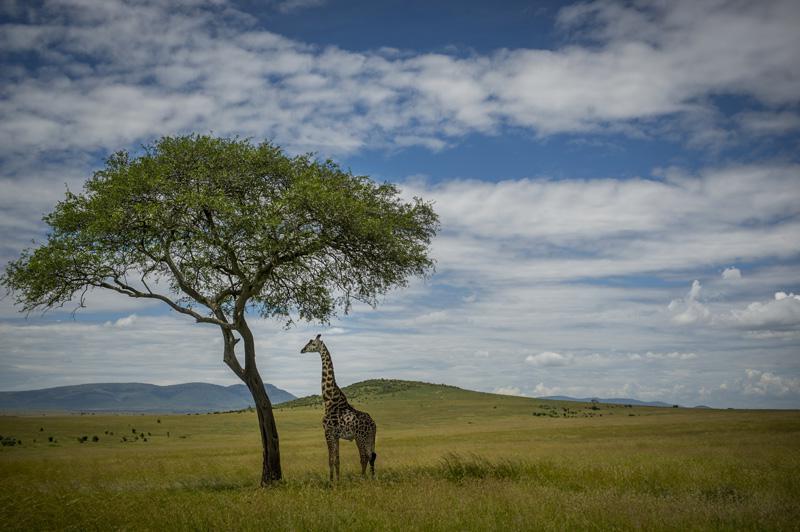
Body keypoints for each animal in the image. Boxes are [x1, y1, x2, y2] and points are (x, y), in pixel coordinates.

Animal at [301, 334, 377, 480]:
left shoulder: (328, 432)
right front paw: (337, 479)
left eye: (312, 343)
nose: (302, 350)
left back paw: (363, 478)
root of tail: (373, 424)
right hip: (371, 438)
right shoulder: (336, 435)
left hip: (360, 437)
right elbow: (337, 459)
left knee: (364, 457)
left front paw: (331, 481)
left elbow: (330, 459)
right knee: (372, 456)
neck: (329, 400)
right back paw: (372, 478)